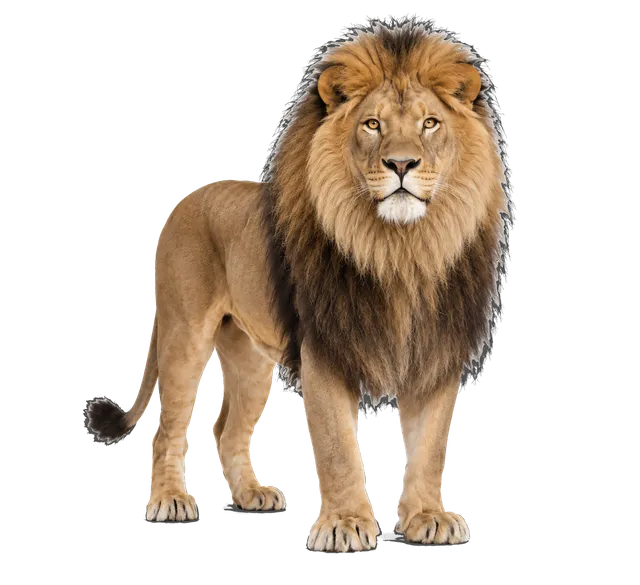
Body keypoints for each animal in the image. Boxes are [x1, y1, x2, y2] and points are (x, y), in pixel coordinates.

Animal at [84, 19, 509, 552]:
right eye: (372, 125)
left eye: (430, 123)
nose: (402, 165)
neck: (399, 250)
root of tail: (189, 198)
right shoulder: (323, 349)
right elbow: (337, 447)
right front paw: (345, 525)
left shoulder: (435, 350)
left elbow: (430, 445)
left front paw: (427, 517)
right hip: (184, 334)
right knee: (167, 428)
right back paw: (169, 502)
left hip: (250, 358)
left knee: (225, 428)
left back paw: (251, 495)